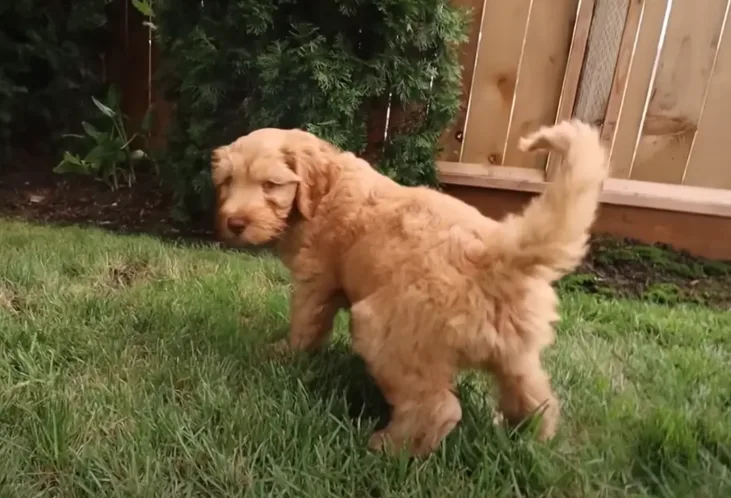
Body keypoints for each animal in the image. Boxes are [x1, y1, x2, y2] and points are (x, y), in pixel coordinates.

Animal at [213, 119, 612, 456]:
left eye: (271, 185)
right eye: (228, 181)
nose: (234, 224)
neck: (325, 193)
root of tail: (496, 255)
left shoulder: (316, 280)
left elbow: (306, 324)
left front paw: (285, 355)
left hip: (387, 332)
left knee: (437, 407)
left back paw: (389, 447)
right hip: (516, 352)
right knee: (535, 397)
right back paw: (530, 440)